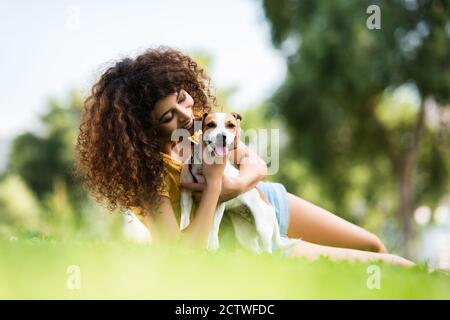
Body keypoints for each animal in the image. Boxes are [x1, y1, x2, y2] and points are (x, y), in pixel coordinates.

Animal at [178, 112, 298, 255]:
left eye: (231, 125)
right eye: (210, 124)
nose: (222, 136)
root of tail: (268, 203)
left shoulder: (218, 201)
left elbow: (214, 225)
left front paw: (212, 246)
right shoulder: (186, 196)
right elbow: (185, 220)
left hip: (263, 228)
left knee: (267, 251)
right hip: (245, 236)